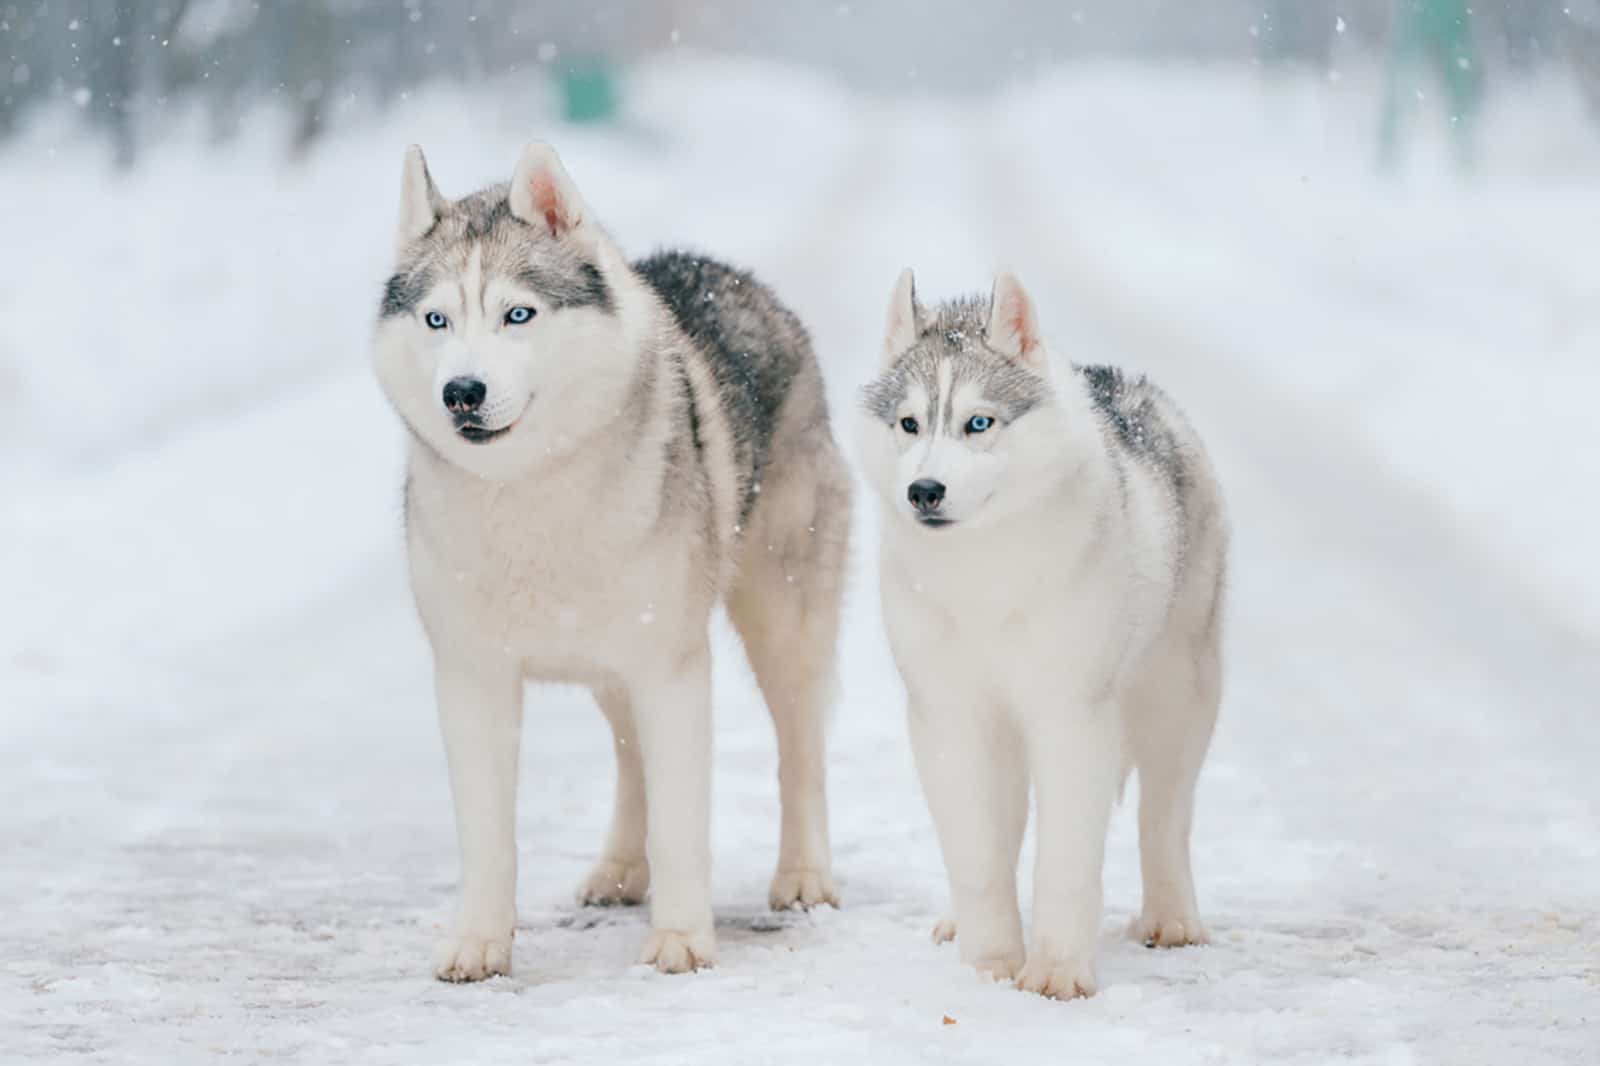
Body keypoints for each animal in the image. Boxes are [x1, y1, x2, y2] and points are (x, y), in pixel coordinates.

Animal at [371, 143, 851, 979]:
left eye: (517, 314)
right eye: (437, 319)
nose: (463, 391)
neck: (531, 495)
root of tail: (730, 273)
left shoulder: (674, 671)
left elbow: (684, 821)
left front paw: (683, 940)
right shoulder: (472, 680)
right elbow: (490, 837)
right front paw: (480, 943)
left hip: (781, 626)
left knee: (800, 754)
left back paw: (802, 877)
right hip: (610, 670)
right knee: (632, 766)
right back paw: (623, 869)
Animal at [864, 267, 1222, 998]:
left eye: (978, 422)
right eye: (909, 423)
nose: (924, 491)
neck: (986, 577)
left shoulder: (1072, 717)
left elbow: (1065, 863)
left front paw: (1056, 974)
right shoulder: (950, 718)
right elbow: (978, 858)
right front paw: (990, 968)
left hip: (1177, 703)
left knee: (1164, 819)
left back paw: (1173, 919)